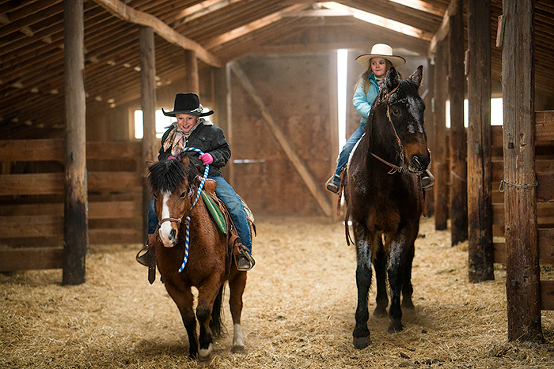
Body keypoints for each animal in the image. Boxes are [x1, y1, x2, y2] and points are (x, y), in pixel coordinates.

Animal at [147, 157, 246, 360]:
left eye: (183, 193)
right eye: (155, 195)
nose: (167, 235)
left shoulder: (212, 277)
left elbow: (202, 311)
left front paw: (205, 348)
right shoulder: (173, 284)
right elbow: (189, 317)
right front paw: (194, 350)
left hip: (239, 275)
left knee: (235, 305)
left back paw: (238, 344)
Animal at [342, 65, 430, 348]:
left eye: (422, 107)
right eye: (397, 109)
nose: (421, 159)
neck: (379, 178)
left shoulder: (403, 227)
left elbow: (396, 269)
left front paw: (396, 318)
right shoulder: (361, 226)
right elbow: (364, 272)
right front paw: (361, 329)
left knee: (407, 260)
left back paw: (406, 301)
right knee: (379, 262)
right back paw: (380, 306)